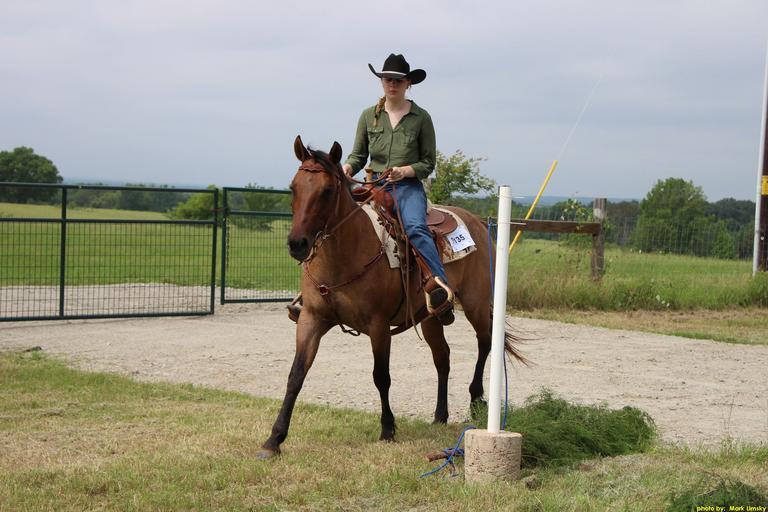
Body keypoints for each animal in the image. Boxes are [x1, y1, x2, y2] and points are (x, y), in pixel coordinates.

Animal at [259, 136, 524, 459]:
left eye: (327, 191)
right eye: (293, 187)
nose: (297, 243)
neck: (344, 255)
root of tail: (476, 222)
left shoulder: (378, 325)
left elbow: (381, 376)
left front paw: (388, 429)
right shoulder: (312, 319)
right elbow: (296, 375)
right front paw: (274, 439)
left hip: (476, 302)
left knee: (485, 342)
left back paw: (475, 400)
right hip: (430, 317)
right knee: (443, 357)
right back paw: (440, 414)